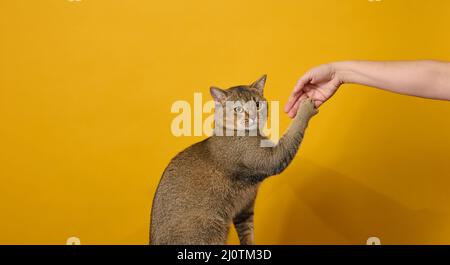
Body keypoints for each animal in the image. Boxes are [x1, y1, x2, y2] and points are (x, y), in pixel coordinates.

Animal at [150, 74, 316, 243]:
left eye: (257, 104)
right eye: (238, 109)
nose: (253, 116)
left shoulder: (245, 207)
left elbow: (247, 233)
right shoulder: (271, 158)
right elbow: (293, 133)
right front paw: (306, 107)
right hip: (209, 227)